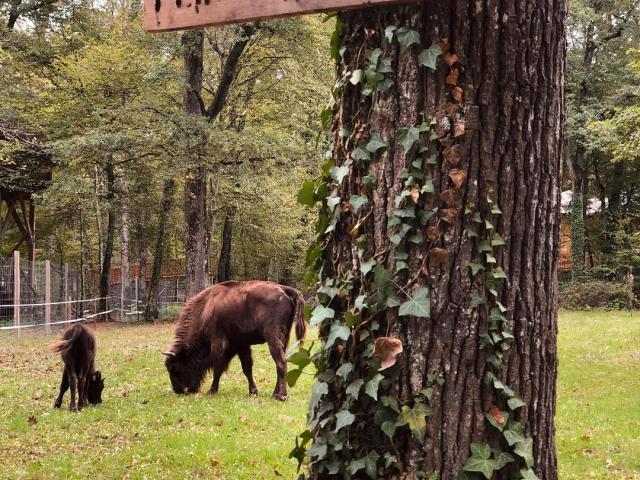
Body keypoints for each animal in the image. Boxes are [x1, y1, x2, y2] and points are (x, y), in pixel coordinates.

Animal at [164, 282, 306, 402]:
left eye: (175, 368)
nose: (178, 390)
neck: (205, 309)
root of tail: (283, 289)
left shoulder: (217, 341)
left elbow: (218, 366)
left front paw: (211, 391)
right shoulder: (241, 345)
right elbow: (247, 368)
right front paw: (253, 391)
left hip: (272, 338)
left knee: (281, 362)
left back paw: (282, 396)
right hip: (285, 338)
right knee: (280, 363)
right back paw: (275, 394)